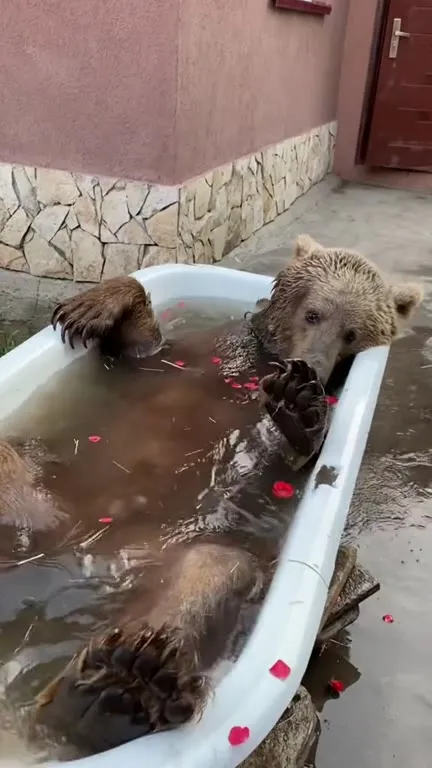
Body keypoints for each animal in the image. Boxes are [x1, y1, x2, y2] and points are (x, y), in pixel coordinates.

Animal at [0, 235, 422, 754]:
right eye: (314, 314)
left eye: (353, 334)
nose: (313, 370)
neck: (263, 359)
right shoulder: (195, 352)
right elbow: (144, 346)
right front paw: (89, 308)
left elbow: (293, 459)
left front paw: (300, 410)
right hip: (40, 475)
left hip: (183, 550)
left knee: (214, 570)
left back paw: (119, 688)